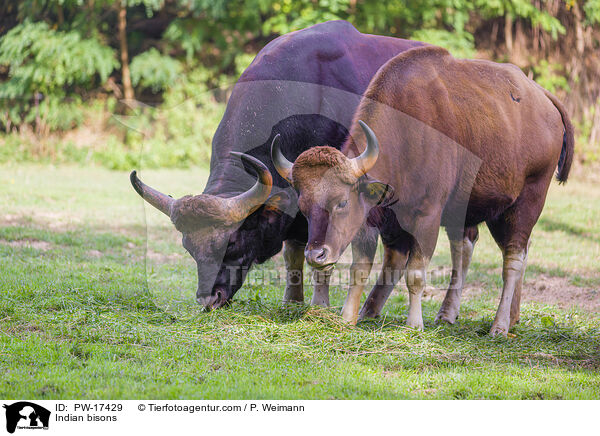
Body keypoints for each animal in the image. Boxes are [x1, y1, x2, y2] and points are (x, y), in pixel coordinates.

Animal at [131, 19, 424, 306]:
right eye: (188, 247)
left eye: (232, 242)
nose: (208, 298)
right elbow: (293, 252)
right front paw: (292, 300)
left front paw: (319, 305)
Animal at [272, 46, 572, 336]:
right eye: (304, 208)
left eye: (342, 202)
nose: (316, 255)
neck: (407, 134)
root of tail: (544, 98)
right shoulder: (373, 217)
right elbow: (361, 268)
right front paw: (347, 318)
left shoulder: (428, 215)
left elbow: (415, 273)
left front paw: (414, 323)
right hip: (477, 209)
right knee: (468, 249)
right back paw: (464, 314)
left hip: (526, 201)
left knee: (513, 258)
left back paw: (499, 325)